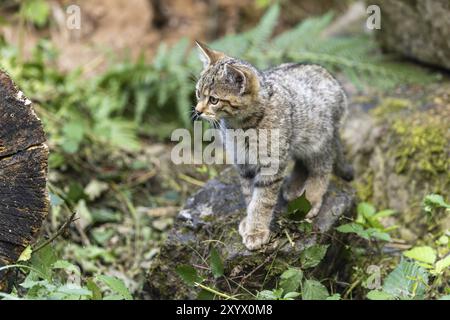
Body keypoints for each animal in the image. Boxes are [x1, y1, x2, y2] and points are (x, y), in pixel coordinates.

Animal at [192, 40, 352, 250]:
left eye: (213, 100)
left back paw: (311, 197)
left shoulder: (272, 162)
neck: (240, 126)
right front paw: (249, 221)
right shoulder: (242, 162)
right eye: (197, 93)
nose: (197, 111)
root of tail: (330, 76)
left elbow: (262, 199)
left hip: (318, 139)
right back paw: (294, 188)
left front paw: (256, 230)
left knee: (322, 166)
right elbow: (249, 194)